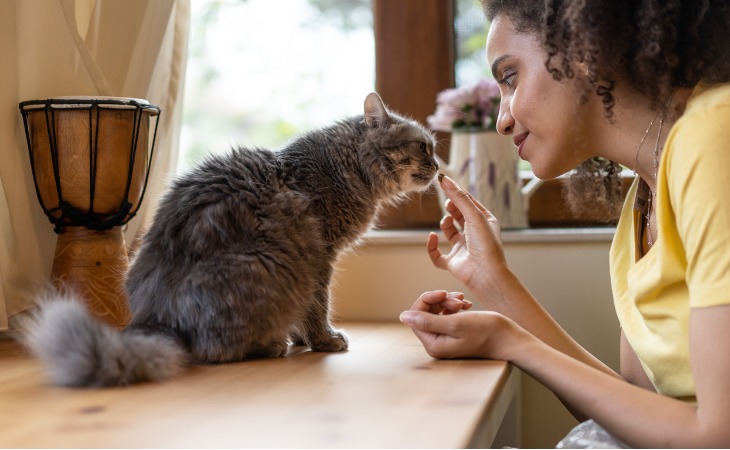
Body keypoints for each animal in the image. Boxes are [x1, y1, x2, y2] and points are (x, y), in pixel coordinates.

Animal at [25, 91, 438, 386]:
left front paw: (303, 338)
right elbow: (318, 306)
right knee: (216, 351)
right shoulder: (320, 257)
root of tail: (160, 318)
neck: (344, 167)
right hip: (267, 265)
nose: (438, 166)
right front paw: (323, 340)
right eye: (423, 147)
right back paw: (270, 345)